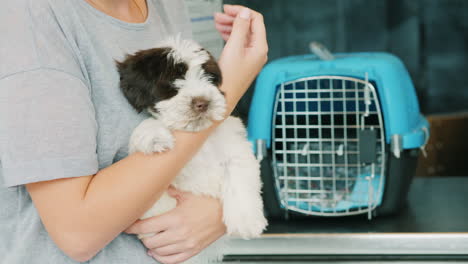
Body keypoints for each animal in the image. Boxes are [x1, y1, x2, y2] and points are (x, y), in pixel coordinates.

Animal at [117, 37, 266, 264]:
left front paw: (246, 221)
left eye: (209, 78)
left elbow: (240, 179)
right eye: (173, 82)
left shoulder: (235, 148)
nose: (202, 103)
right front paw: (151, 134)